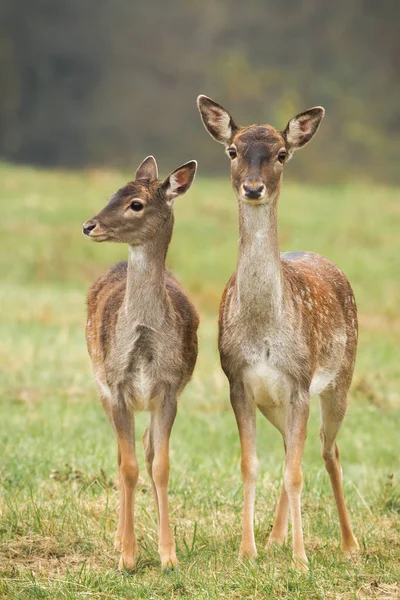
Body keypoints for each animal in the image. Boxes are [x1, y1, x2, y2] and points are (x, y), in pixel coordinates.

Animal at [82, 155, 198, 572]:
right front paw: (128, 557)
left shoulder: (169, 388)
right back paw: (118, 539)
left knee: (145, 451)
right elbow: (128, 466)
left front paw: (169, 555)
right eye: (112, 193)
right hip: (99, 382)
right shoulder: (116, 385)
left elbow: (160, 465)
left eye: (136, 204)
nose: (89, 225)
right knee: (122, 456)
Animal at [197, 96, 360, 568]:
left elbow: (295, 473)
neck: (264, 333)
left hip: (341, 377)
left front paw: (302, 561)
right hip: (275, 402)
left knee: (327, 449)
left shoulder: (300, 382)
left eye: (282, 154)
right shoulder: (238, 381)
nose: (253, 188)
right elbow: (251, 464)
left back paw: (349, 544)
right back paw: (274, 538)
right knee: (294, 447)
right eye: (232, 150)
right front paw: (247, 550)